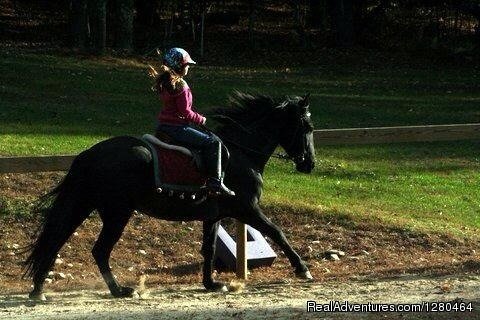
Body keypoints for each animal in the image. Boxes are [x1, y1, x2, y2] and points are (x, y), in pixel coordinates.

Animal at [23, 90, 316, 300]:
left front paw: (211, 284)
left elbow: (209, 249)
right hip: (117, 212)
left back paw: (39, 289)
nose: (309, 165)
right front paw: (303, 269)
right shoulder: (247, 208)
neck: (240, 154)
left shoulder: (214, 216)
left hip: (88, 205)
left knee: (57, 240)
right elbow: (277, 232)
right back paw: (119, 290)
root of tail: (90, 153)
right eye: (307, 128)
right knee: (98, 250)